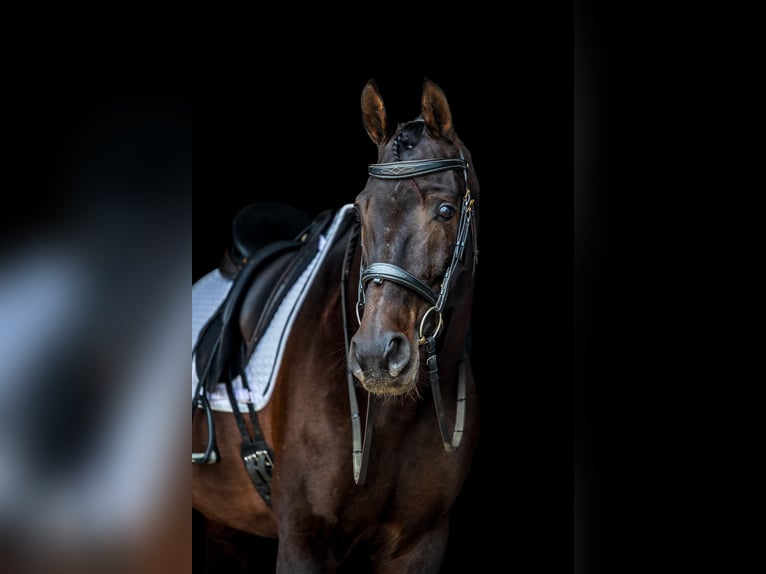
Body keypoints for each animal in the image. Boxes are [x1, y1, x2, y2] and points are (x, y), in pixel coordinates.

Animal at [192, 77, 481, 573]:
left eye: (445, 210)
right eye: (361, 210)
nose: (376, 355)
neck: (394, 418)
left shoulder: (421, 543)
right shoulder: (301, 538)